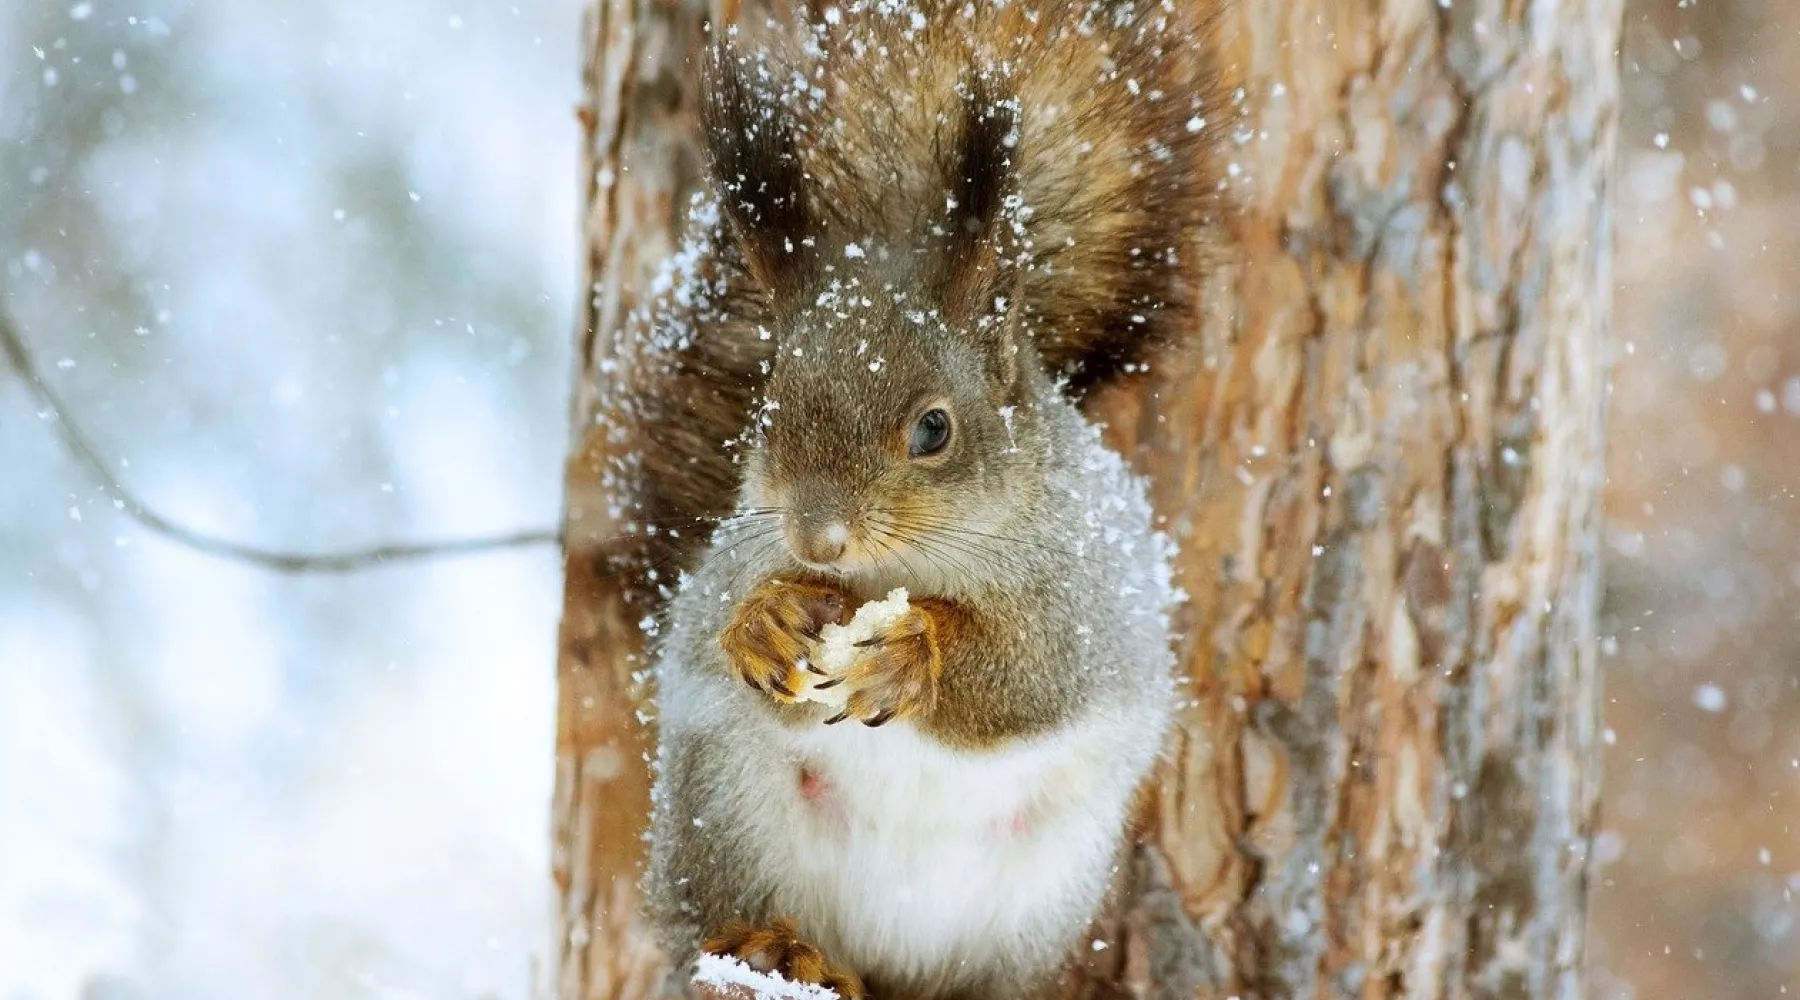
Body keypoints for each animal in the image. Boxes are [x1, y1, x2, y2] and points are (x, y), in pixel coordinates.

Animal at [637, 1, 1224, 1000]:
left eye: (935, 430)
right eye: (767, 410)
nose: (818, 539)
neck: (903, 567)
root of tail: (887, 959)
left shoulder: (1090, 602)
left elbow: (1033, 678)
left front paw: (917, 653)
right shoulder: (727, 562)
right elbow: (714, 627)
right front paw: (764, 623)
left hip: (1041, 892)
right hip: (725, 808)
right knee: (713, 924)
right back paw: (778, 949)